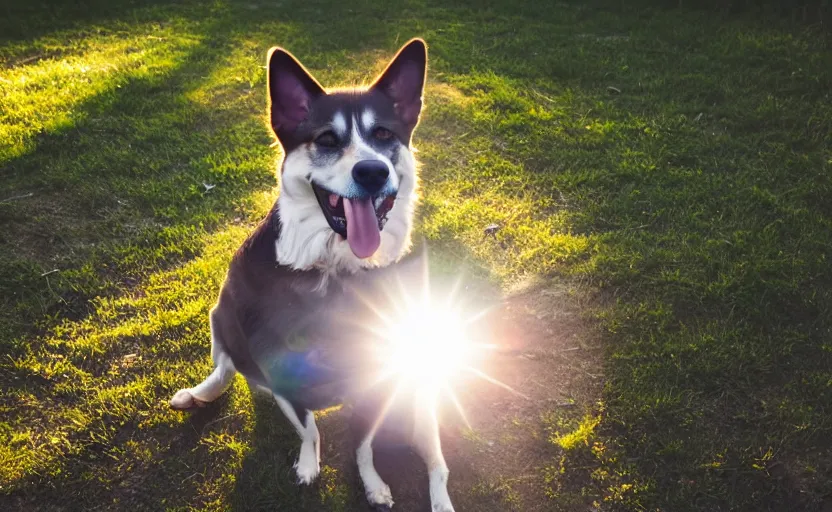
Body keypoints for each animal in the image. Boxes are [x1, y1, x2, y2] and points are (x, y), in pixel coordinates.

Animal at [168, 38, 456, 510]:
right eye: (326, 139)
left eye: (384, 135)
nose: (372, 171)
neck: (334, 267)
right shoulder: (280, 374)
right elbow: (310, 429)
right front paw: (308, 464)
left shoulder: (379, 374)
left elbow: (362, 444)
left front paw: (371, 482)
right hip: (219, 314)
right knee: (226, 362)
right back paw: (202, 392)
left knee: (438, 468)